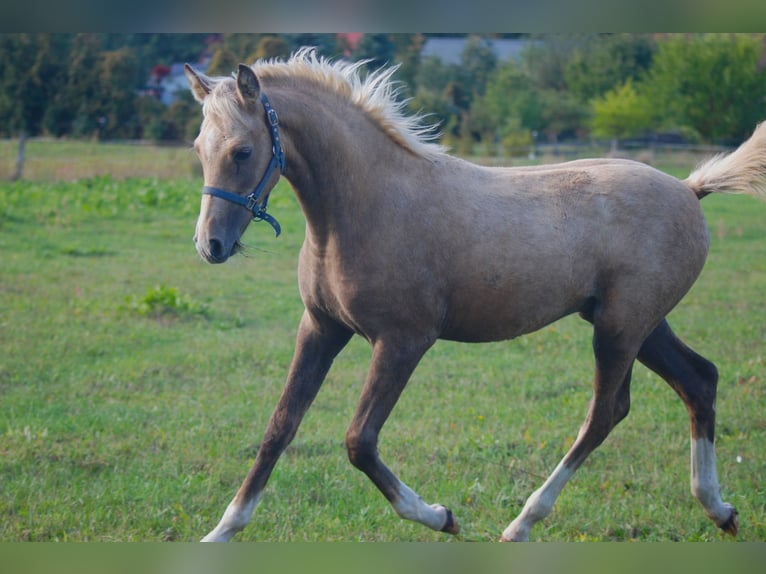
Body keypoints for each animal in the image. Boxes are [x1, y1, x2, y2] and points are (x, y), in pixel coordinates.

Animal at [186, 49, 766, 544]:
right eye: (198, 149)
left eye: (242, 151)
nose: (210, 245)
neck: (369, 205)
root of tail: (689, 189)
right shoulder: (321, 328)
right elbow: (279, 426)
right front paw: (221, 530)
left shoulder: (403, 341)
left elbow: (359, 440)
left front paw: (440, 516)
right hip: (640, 325)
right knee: (699, 380)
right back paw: (720, 510)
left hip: (621, 328)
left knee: (607, 411)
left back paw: (522, 522)